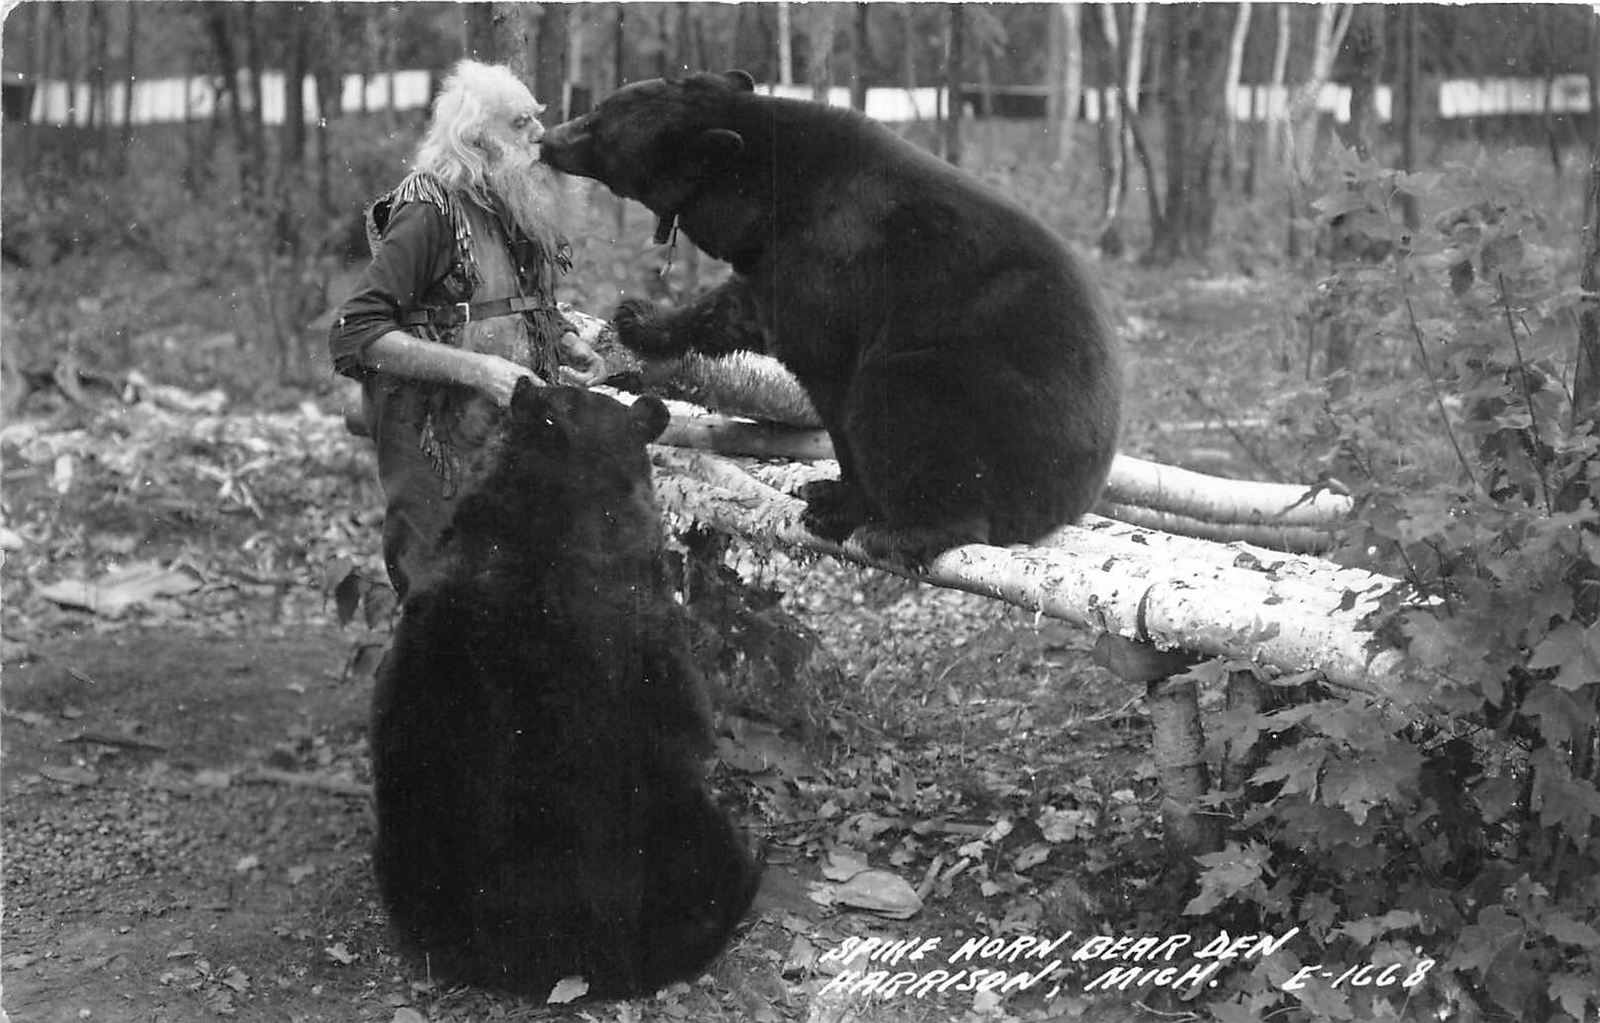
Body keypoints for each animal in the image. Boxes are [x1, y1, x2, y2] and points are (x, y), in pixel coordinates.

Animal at [538, 70, 1122, 567]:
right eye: (598, 109)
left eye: (595, 124)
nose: (547, 138)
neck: (764, 192)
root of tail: (1077, 497)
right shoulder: (773, 262)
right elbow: (737, 310)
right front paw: (639, 318)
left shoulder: (832, 260)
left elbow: (825, 368)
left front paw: (843, 500)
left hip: (988, 405)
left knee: (904, 401)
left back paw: (908, 530)